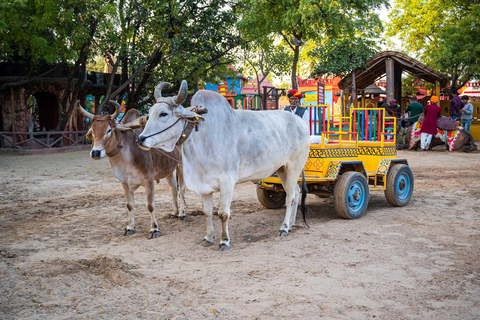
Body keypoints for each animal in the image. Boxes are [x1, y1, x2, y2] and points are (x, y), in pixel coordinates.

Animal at [78, 101, 185, 239]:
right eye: (92, 131)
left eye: (108, 130)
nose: (95, 152)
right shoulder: (124, 183)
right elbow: (130, 205)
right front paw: (130, 227)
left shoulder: (149, 180)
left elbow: (150, 205)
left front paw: (154, 229)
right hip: (168, 169)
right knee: (173, 188)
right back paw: (174, 212)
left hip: (181, 165)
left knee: (181, 189)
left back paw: (182, 213)